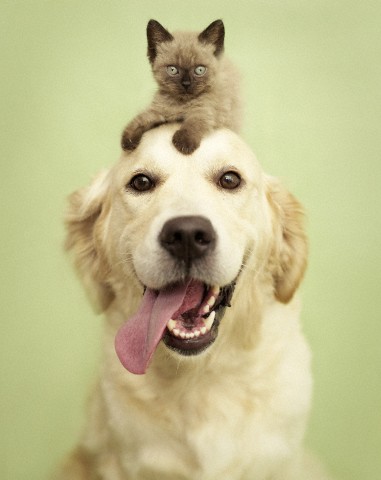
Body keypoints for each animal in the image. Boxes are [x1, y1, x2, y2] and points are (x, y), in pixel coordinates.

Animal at [121, 19, 240, 155]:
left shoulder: (204, 111)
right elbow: (141, 119)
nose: (186, 84)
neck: (180, 105)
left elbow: (193, 123)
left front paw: (184, 143)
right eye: (173, 70)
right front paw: (128, 140)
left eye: (199, 70)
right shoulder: (159, 110)